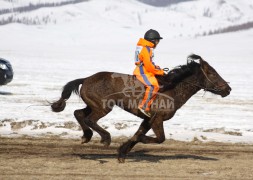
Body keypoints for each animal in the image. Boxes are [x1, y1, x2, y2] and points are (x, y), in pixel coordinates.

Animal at [51, 54, 231, 162]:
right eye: (212, 73)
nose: (228, 89)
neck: (172, 88)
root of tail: (86, 78)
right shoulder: (157, 118)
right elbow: (159, 138)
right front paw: (138, 142)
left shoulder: (148, 119)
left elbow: (137, 134)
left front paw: (122, 153)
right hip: (103, 107)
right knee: (89, 119)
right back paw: (105, 138)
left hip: (93, 105)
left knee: (79, 113)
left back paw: (86, 136)